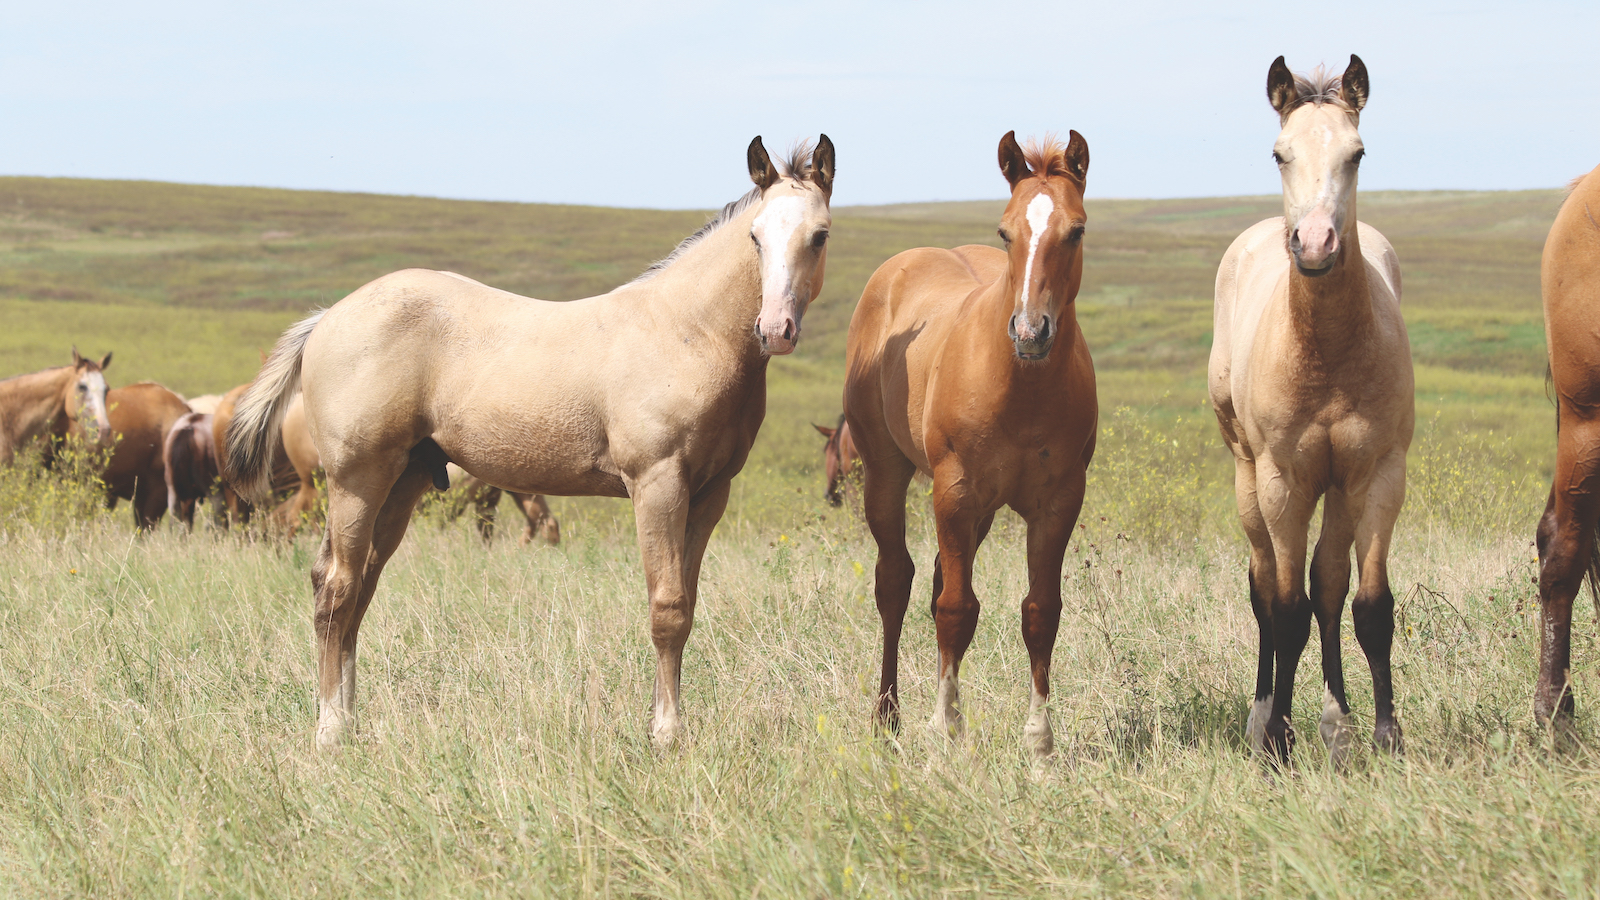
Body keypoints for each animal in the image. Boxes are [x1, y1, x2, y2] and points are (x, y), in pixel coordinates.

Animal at [228, 135, 835, 748]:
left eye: (820, 234)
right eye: (755, 235)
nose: (775, 330)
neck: (686, 330)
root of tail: (328, 317)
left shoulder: (710, 494)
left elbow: (686, 607)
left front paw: (668, 722)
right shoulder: (658, 483)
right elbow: (666, 609)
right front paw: (665, 733)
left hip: (401, 481)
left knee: (358, 589)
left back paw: (349, 719)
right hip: (356, 480)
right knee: (336, 587)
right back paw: (330, 729)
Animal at [844, 131, 1096, 759]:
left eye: (1076, 230)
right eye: (1006, 232)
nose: (1030, 332)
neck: (1021, 390)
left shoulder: (1057, 503)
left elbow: (1040, 613)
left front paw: (1039, 740)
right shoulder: (954, 492)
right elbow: (955, 609)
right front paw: (946, 729)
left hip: (980, 511)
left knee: (936, 576)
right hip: (887, 475)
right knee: (896, 581)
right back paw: (887, 717)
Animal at [1209, 55, 1413, 766]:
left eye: (1357, 152)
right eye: (1280, 153)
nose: (1318, 243)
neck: (1324, 354)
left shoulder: (1377, 476)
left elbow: (1367, 605)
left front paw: (1384, 736)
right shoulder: (1283, 483)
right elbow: (1285, 607)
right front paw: (1276, 741)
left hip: (1341, 490)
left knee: (1327, 582)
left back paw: (1336, 723)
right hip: (1248, 479)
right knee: (1266, 587)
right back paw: (1263, 716)